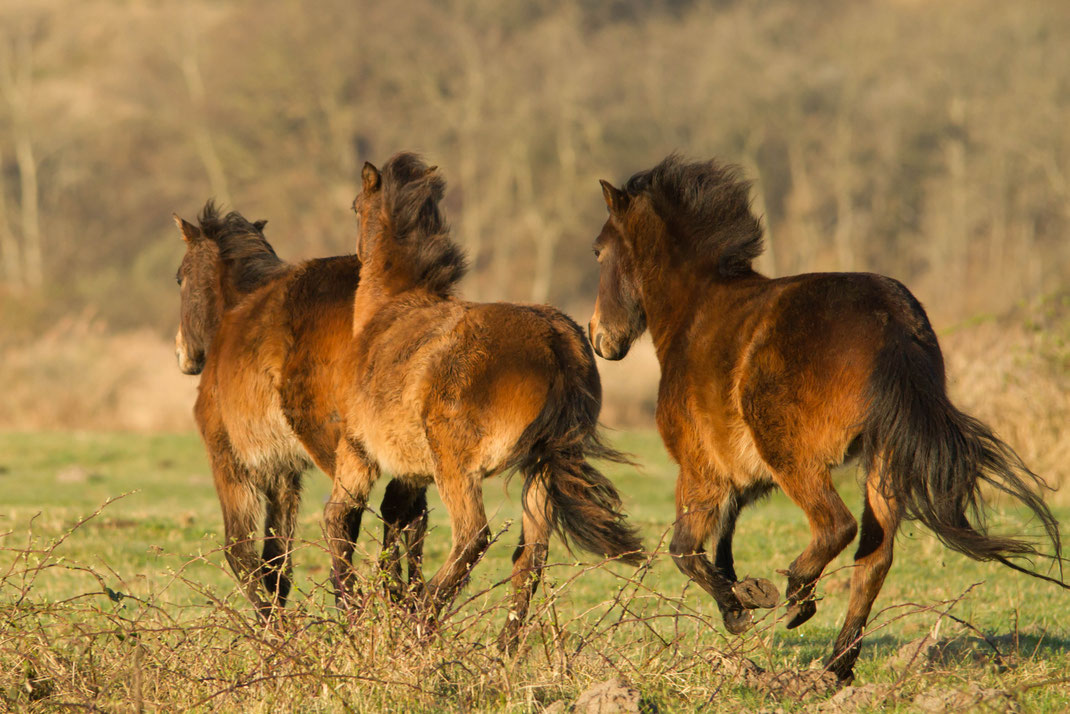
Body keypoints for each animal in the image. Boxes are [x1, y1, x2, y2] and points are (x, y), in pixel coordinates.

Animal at [173, 203, 428, 616]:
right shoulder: (283, 472)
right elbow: (276, 563)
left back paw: (359, 607)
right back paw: (411, 604)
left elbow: (241, 553)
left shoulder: (229, 461)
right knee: (408, 511)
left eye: (179, 277)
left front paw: (275, 630)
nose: (182, 353)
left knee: (346, 518)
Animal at [326, 152, 643, 648]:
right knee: (530, 558)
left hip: (457, 465)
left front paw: (359, 616)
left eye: (355, 206)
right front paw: (390, 602)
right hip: (541, 468)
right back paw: (501, 650)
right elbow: (402, 524)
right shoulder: (411, 473)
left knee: (473, 537)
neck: (387, 313)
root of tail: (556, 342)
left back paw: (421, 623)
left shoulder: (358, 451)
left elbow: (340, 523)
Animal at [587, 154, 1065, 681]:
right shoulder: (742, 476)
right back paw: (836, 665)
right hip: (882, 463)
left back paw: (798, 597)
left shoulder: (700, 471)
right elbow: (722, 537)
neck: (696, 313)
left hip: (795, 458)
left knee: (836, 526)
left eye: (599, 252)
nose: (598, 338)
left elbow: (684, 550)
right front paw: (740, 592)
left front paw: (738, 609)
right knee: (874, 558)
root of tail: (892, 321)